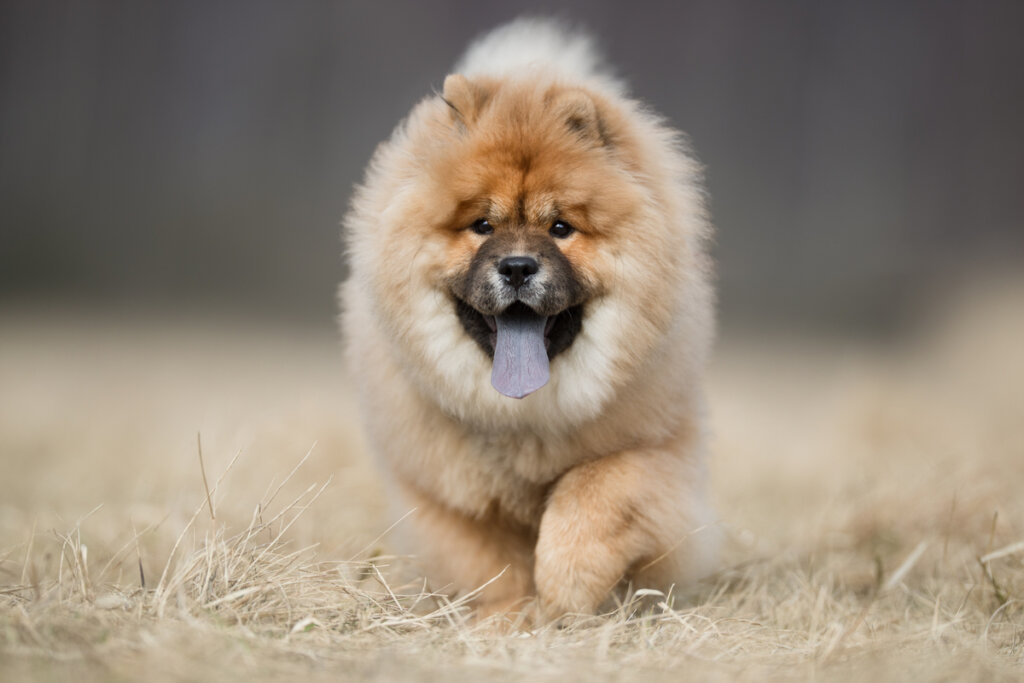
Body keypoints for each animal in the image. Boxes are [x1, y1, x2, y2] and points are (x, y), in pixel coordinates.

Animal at [339, 18, 716, 618]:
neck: (523, 417)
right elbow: (488, 563)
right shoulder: (445, 489)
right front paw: (509, 617)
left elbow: (594, 492)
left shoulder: (656, 450)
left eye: (560, 228)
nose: (517, 266)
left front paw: (566, 585)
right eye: (482, 226)